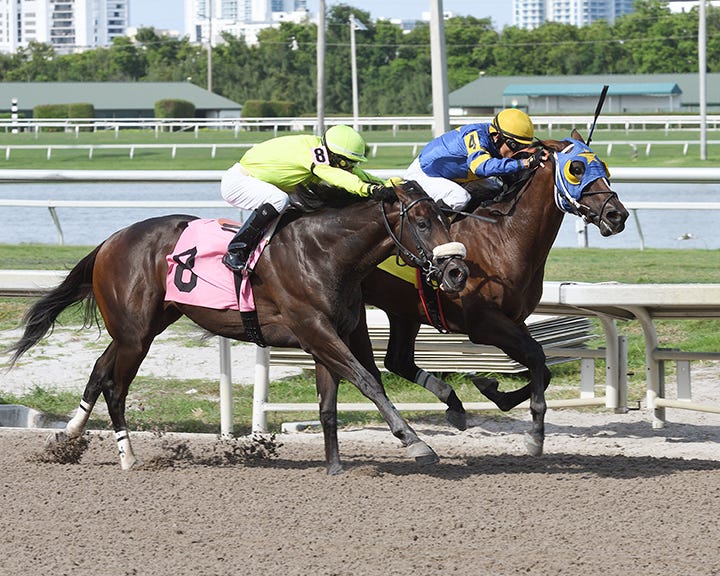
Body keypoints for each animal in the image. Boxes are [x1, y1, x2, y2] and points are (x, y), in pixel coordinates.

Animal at [6, 180, 468, 475]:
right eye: (423, 222)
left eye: (447, 218)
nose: (457, 272)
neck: (325, 253)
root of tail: (111, 239)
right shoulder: (314, 330)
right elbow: (369, 383)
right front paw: (417, 443)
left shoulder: (340, 332)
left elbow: (334, 401)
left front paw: (336, 467)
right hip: (135, 334)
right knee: (115, 388)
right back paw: (128, 457)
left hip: (142, 328)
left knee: (99, 372)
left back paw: (67, 438)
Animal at [360, 130, 629, 456]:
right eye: (576, 168)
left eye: (604, 166)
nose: (617, 215)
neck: (503, 236)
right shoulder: (483, 323)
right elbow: (536, 356)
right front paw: (535, 434)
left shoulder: (515, 318)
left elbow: (543, 368)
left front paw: (493, 390)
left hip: (403, 309)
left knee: (396, 361)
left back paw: (452, 405)